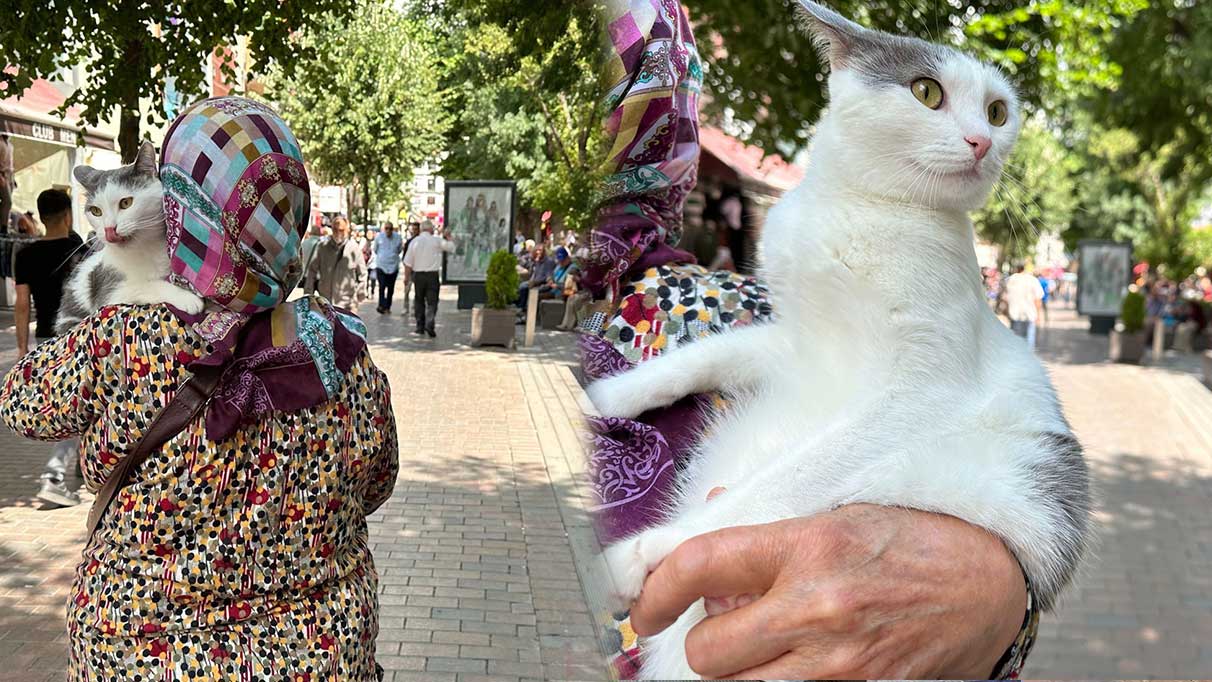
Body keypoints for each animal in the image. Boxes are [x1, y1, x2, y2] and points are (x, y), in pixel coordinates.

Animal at [56, 139, 202, 334]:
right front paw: (187, 298)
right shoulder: (109, 292)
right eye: (95, 211)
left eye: (126, 203)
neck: (143, 250)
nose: (109, 229)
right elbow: (145, 285)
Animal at [584, 2, 1090, 678]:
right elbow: (700, 357)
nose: (982, 141)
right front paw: (605, 396)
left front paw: (641, 554)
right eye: (926, 92)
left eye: (997, 111)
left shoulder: (921, 391)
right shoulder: (793, 343)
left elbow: (778, 482)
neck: (862, 208)